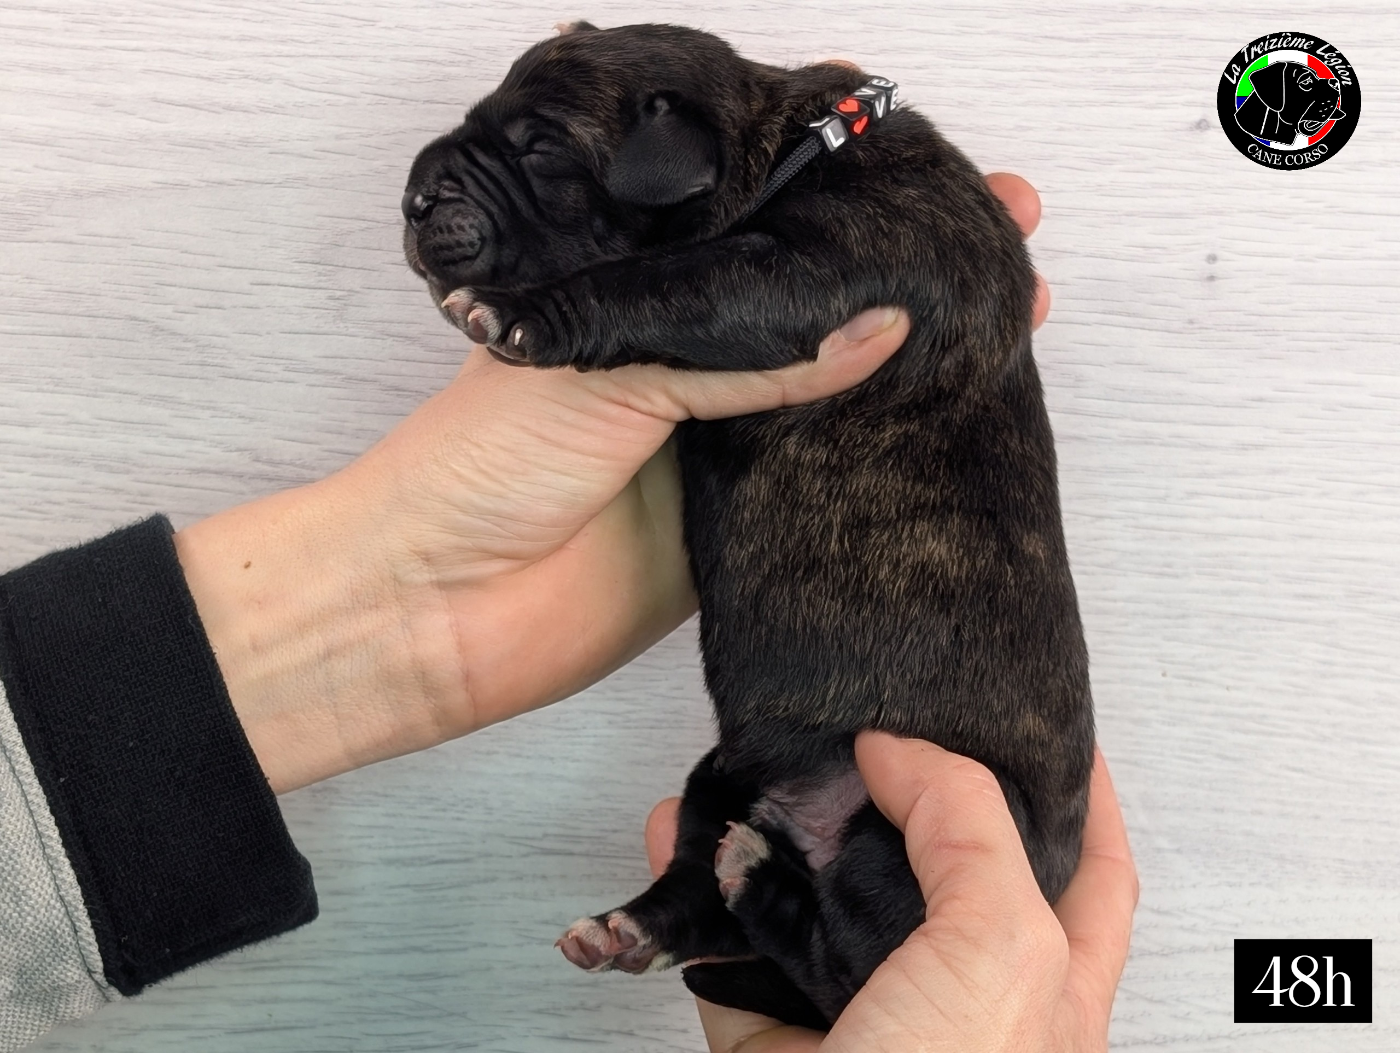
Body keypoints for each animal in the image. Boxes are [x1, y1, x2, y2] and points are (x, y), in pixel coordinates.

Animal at [402, 22, 1094, 1028]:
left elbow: (660, 279)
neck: (795, 146)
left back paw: (764, 884)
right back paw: (636, 923)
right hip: (722, 769)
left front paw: (522, 314)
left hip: (908, 838)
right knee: (703, 885)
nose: (413, 197)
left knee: (841, 966)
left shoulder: (821, 271)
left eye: (539, 149)